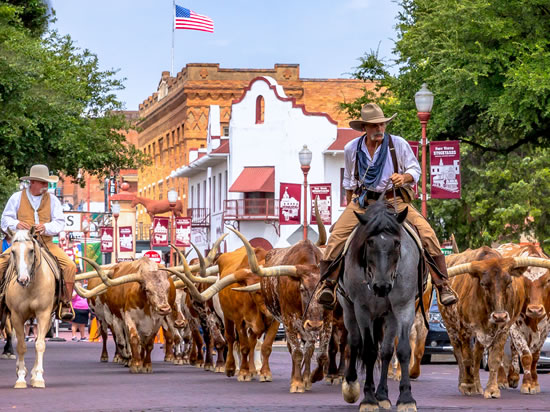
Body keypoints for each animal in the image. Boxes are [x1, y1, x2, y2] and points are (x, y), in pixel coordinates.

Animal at [1, 230, 59, 388]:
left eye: (31, 250)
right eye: (13, 251)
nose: (22, 279)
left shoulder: (44, 314)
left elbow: (40, 344)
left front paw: (38, 377)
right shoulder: (16, 316)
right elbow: (21, 345)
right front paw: (21, 377)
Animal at [340, 197, 422, 412]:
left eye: (396, 243)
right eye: (369, 242)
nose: (382, 286)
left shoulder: (404, 307)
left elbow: (402, 350)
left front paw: (406, 397)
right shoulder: (362, 308)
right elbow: (368, 350)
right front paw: (368, 399)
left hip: (389, 315)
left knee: (385, 351)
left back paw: (383, 395)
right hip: (348, 308)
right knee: (354, 341)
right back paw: (351, 385)